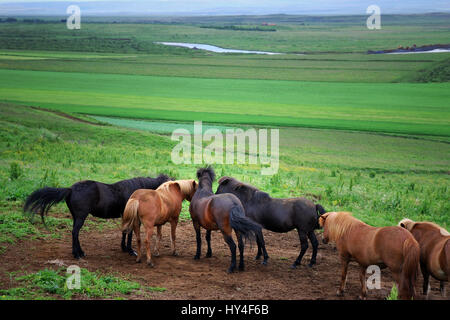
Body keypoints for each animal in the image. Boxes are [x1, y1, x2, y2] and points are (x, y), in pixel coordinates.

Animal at [22, 174, 171, 258]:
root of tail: (70, 189)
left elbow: (124, 232)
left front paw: (124, 248)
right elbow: (129, 233)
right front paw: (130, 250)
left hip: (76, 217)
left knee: (75, 233)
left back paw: (80, 252)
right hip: (81, 217)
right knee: (75, 232)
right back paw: (77, 254)